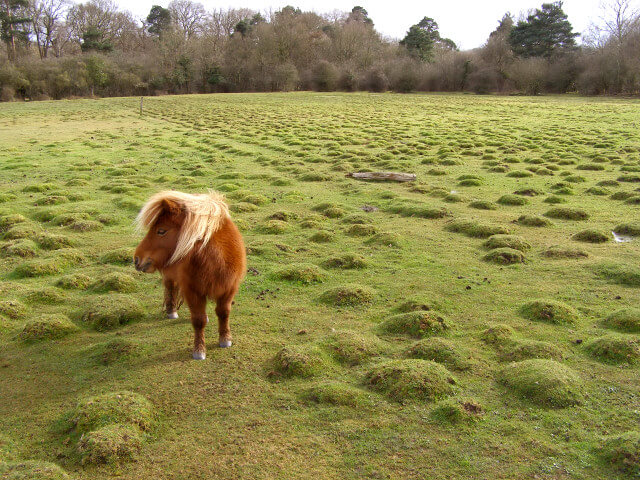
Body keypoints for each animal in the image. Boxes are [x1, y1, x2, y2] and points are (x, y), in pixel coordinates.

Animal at [132, 191, 245, 360]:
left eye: (161, 231)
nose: (137, 259)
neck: (216, 259)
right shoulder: (193, 291)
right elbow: (198, 321)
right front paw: (199, 350)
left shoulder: (229, 288)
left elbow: (223, 313)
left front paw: (225, 339)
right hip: (171, 277)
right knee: (170, 288)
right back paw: (171, 311)